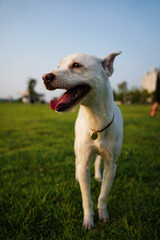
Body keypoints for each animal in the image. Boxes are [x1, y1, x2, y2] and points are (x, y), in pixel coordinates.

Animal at [42, 52, 122, 229]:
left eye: (76, 65)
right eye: (59, 66)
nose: (45, 77)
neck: (97, 123)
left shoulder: (111, 165)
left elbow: (103, 195)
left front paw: (103, 214)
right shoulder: (84, 162)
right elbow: (87, 198)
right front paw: (88, 220)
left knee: (97, 161)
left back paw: (98, 176)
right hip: (77, 148)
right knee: (77, 161)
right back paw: (78, 177)